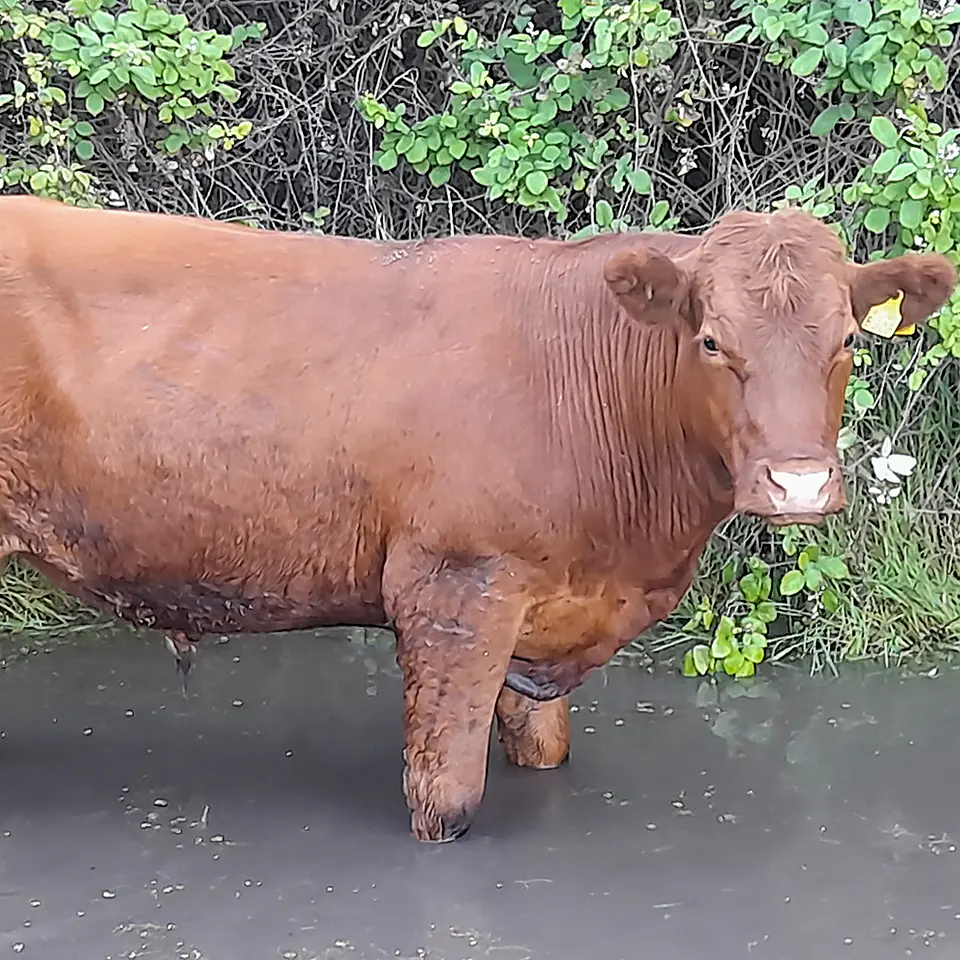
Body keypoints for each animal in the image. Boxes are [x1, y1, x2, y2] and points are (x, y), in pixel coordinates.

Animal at [0, 195, 953, 842]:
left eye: (848, 341)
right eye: (711, 340)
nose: (798, 484)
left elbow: (543, 746)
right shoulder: (454, 588)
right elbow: (448, 797)